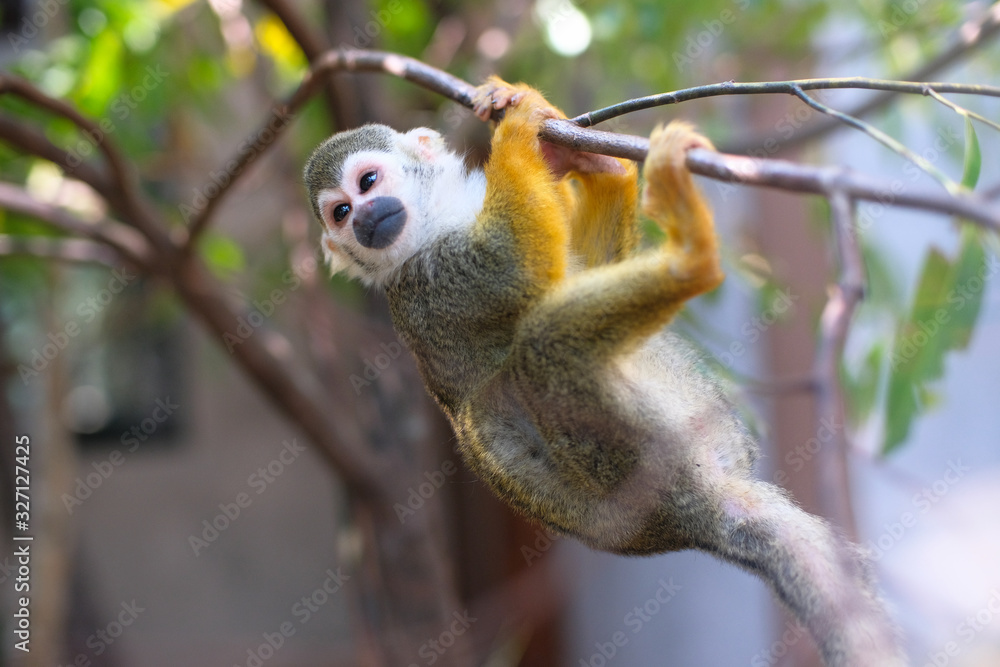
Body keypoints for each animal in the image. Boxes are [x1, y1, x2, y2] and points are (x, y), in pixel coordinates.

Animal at [304, 76, 905, 667]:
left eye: (368, 182)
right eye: (339, 213)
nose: (364, 220)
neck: (436, 223)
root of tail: (700, 518)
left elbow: (585, 265)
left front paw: (564, 143)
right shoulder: (427, 285)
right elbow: (512, 265)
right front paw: (517, 135)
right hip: (642, 463)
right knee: (538, 348)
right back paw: (691, 258)